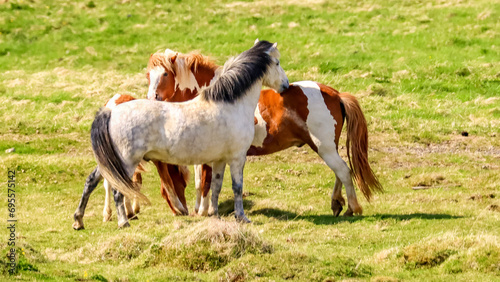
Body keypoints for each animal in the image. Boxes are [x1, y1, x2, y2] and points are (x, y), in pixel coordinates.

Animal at [79, 40, 290, 228]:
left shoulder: (219, 160)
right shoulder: (237, 158)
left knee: (92, 181)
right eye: (277, 62)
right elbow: (237, 187)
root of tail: (111, 111)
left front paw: (215, 215)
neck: (231, 103)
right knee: (117, 191)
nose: (286, 85)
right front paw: (242, 217)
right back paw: (123, 222)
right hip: (126, 162)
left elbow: (215, 186)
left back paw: (78, 221)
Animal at [146, 49, 382, 216]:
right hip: (326, 147)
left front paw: (204, 212)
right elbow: (199, 183)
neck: (211, 98)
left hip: (324, 147)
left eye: (165, 74)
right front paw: (201, 210)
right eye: (149, 75)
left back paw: (352, 207)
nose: (151, 99)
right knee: (339, 172)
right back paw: (337, 204)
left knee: (343, 171)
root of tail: (335, 93)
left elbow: (206, 183)